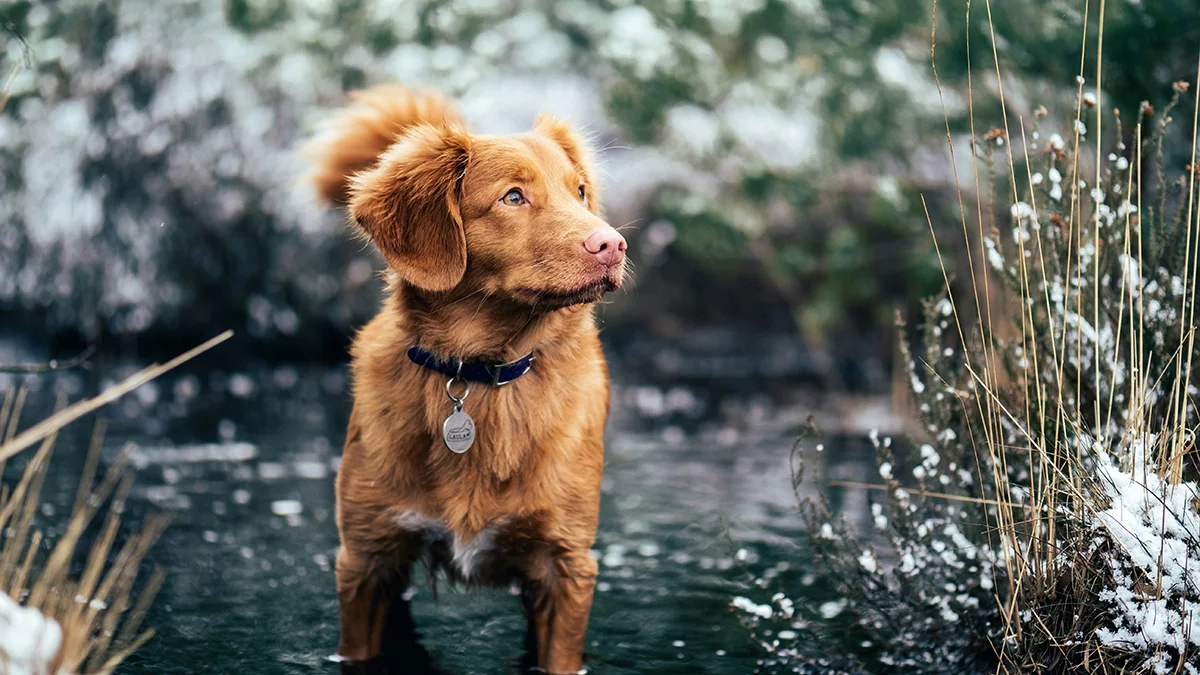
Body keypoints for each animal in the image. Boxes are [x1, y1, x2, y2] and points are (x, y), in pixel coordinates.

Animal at [307, 85, 628, 672]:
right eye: (513, 198)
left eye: (579, 192)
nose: (613, 245)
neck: (479, 374)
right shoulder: (366, 560)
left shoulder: (566, 567)